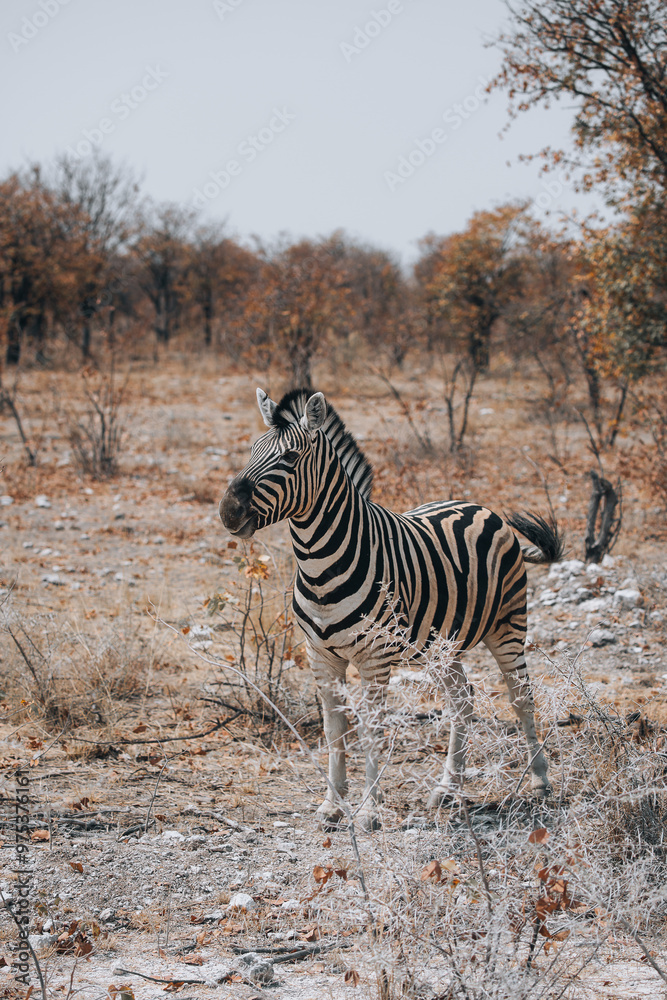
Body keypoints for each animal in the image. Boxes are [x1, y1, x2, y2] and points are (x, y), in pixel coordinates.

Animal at [219, 387, 563, 830]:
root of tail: (480, 507)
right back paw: (447, 789)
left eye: (291, 457)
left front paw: (368, 810)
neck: (318, 565)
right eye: (251, 450)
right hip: (441, 645)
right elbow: (334, 729)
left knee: (521, 698)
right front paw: (332, 805)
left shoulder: (375, 658)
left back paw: (540, 782)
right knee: (462, 701)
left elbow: (372, 729)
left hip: (508, 625)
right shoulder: (320, 656)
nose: (228, 511)